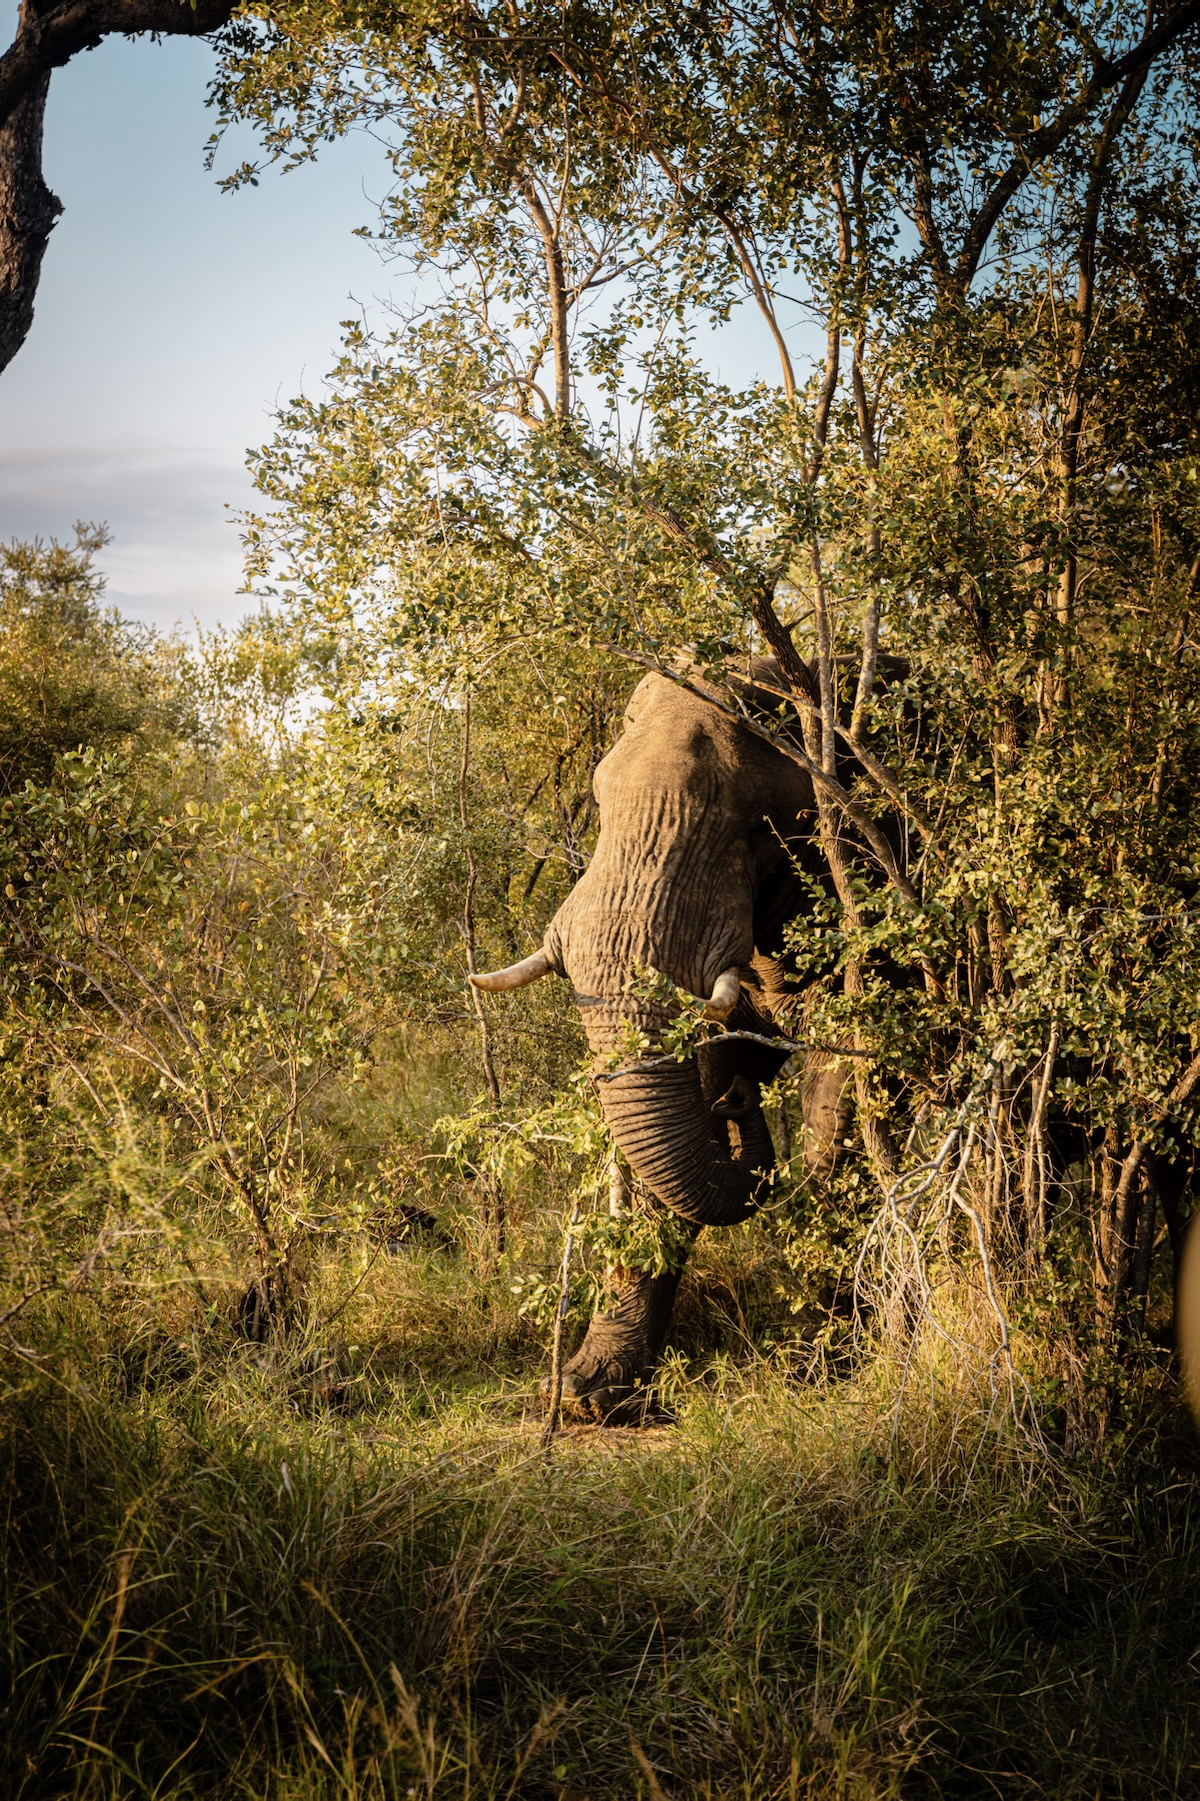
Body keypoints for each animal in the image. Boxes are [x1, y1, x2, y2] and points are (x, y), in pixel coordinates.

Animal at [468, 662, 850, 1419]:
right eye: (597, 800)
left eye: (758, 830)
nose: (740, 1103)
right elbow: (684, 1095)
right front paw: (585, 1393)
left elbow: (840, 1093)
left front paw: (824, 1365)